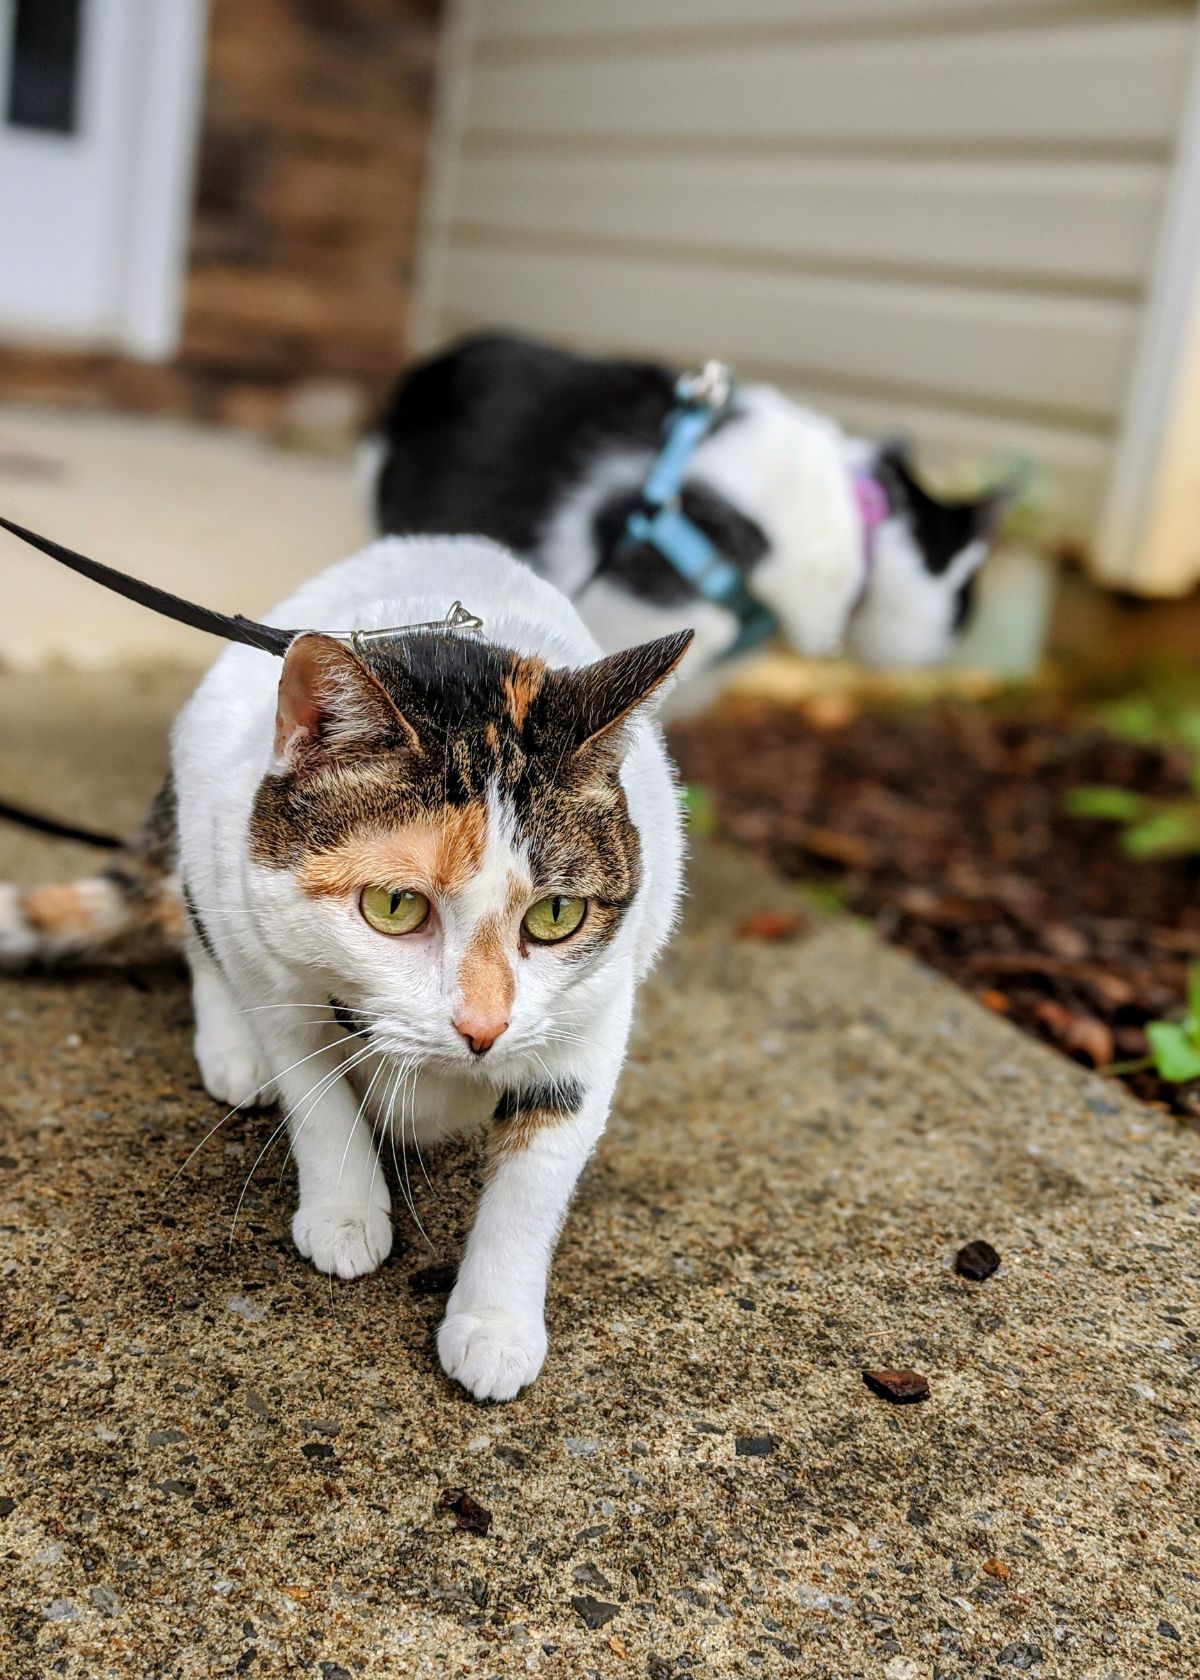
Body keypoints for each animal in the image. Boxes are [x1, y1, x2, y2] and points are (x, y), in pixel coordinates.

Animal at [0, 534, 685, 1391]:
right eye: (394, 906)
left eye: (556, 916)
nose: (483, 1029)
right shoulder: (271, 965)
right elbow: (317, 1097)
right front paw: (345, 1212)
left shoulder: (591, 1017)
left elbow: (535, 1177)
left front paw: (494, 1323)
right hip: (205, 822)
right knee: (196, 928)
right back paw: (231, 1052)